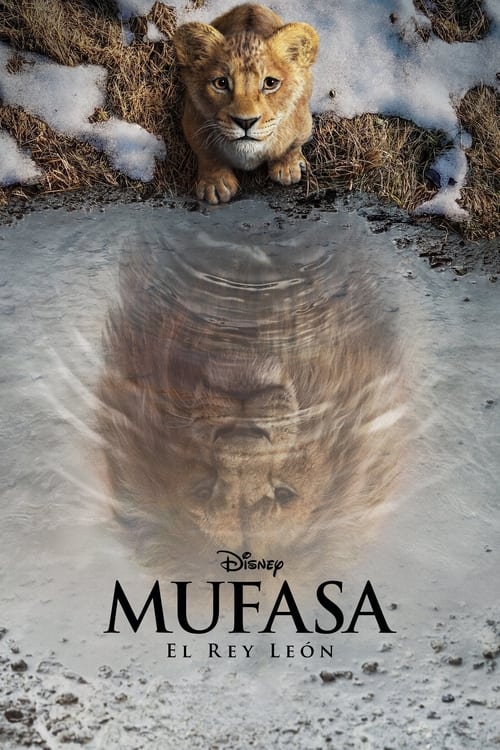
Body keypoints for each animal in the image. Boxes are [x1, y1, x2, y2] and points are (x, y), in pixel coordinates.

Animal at [173, 4, 319, 204]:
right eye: (221, 83)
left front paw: (287, 168)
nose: (245, 122)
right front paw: (215, 184)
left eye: (270, 83)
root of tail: (251, 5)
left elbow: (292, 146)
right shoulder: (193, 121)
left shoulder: (303, 122)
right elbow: (207, 153)